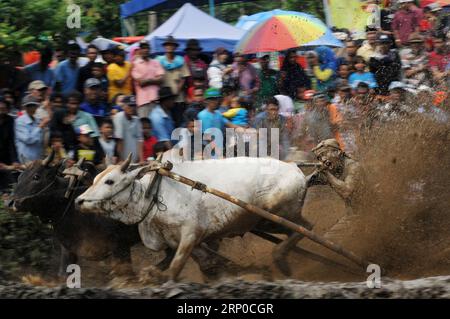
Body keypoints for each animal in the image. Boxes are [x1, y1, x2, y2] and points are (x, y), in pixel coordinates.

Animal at [77, 156, 308, 282]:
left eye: (109, 181)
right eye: (95, 179)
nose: (79, 200)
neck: (152, 195)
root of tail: (295, 169)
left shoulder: (190, 233)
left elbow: (174, 269)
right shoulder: (183, 242)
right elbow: (207, 264)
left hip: (278, 214)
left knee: (306, 228)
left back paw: (280, 258)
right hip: (265, 221)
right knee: (299, 230)